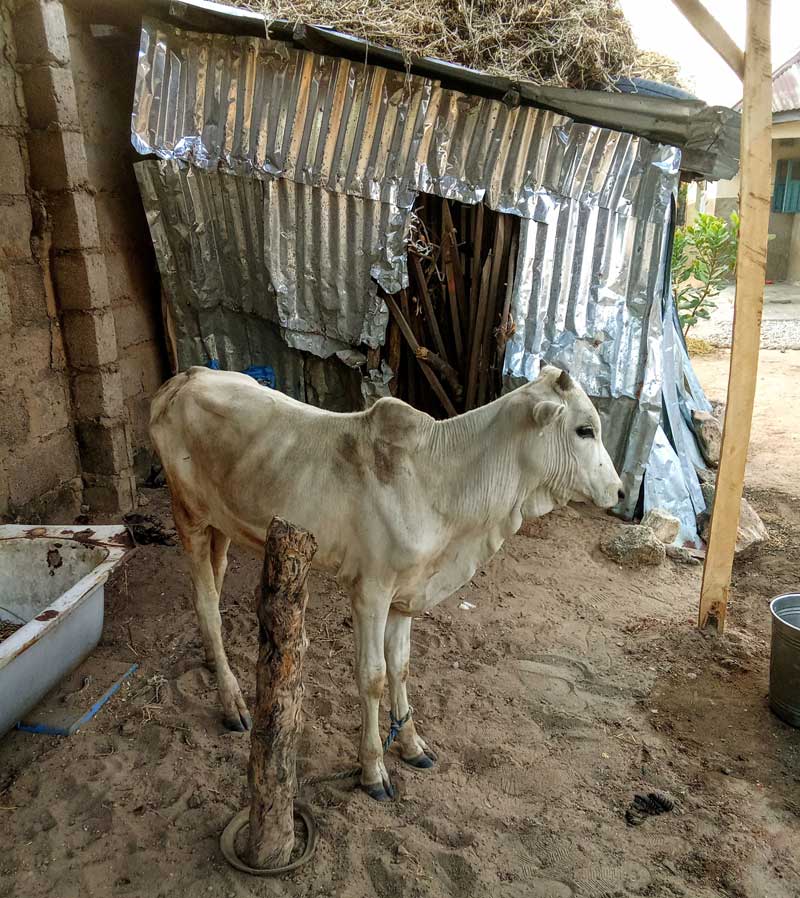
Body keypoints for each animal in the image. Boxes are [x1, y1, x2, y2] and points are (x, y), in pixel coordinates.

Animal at [150, 364, 624, 800]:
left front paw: (411, 745)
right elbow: (373, 676)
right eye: (585, 429)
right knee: (206, 602)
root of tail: (186, 378)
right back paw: (231, 702)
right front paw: (373, 769)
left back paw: (214, 661)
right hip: (188, 515)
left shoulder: (406, 592)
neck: (441, 483)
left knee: (216, 582)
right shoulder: (370, 593)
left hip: (222, 523)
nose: (619, 492)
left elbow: (402, 665)